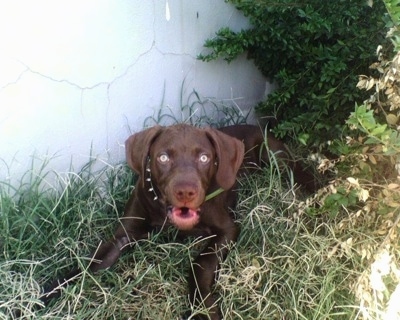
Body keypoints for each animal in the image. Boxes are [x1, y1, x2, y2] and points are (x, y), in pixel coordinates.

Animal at [41, 124, 316, 318]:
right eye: (163, 157)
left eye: (205, 158)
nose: (186, 191)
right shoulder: (123, 234)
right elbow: (87, 265)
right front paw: (43, 295)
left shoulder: (228, 229)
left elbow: (200, 263)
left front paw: (203, 307)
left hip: (274, 155)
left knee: (294, 167)